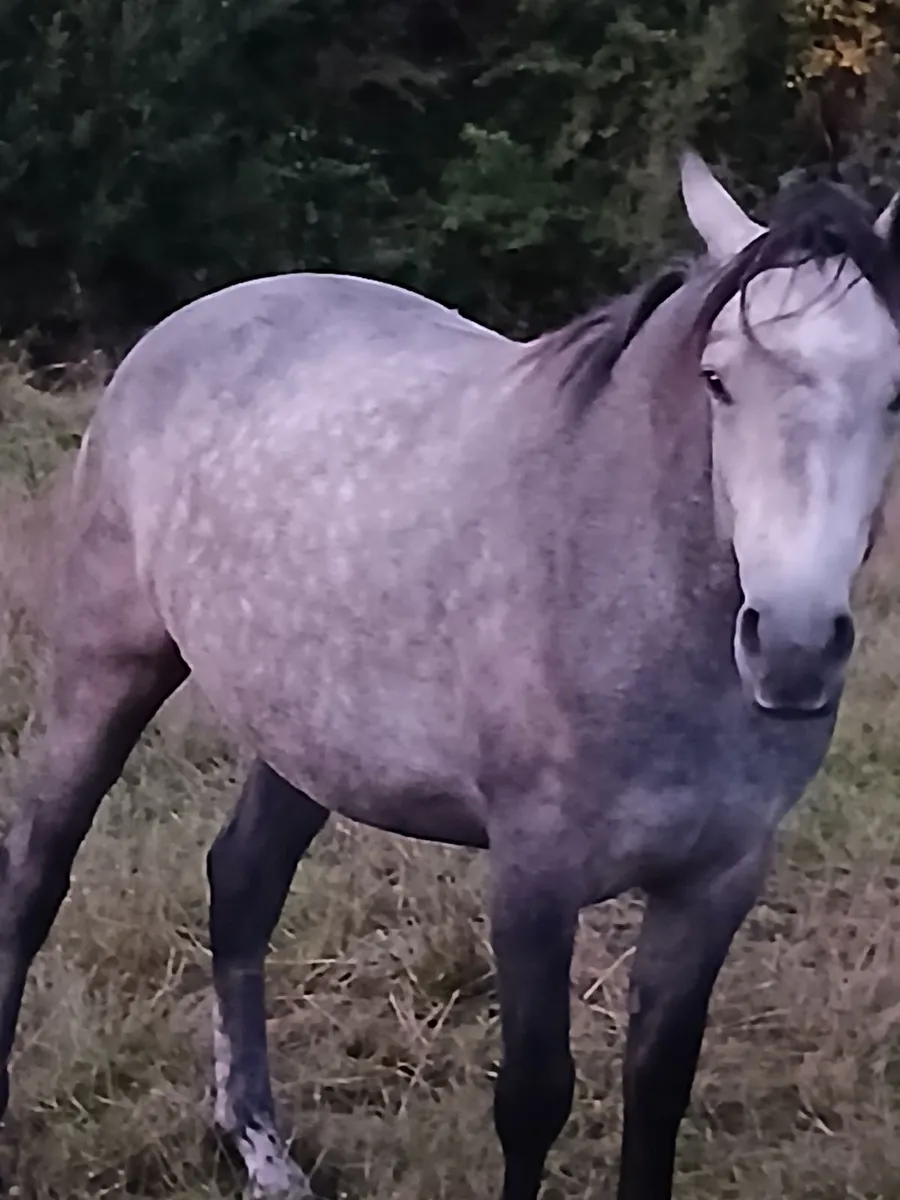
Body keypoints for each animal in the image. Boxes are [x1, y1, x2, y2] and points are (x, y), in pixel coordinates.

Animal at [1, 152, 899, 1200]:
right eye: (717, 379)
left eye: (896, 393)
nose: (794, 646)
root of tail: (201, 316)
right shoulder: (533, 872)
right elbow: (535, 1099)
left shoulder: (717, 880)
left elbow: (658, 1090)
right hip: (106, 665)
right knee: (36, 876)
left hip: (308, 733)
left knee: (243, 887)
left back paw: (260, 1146)